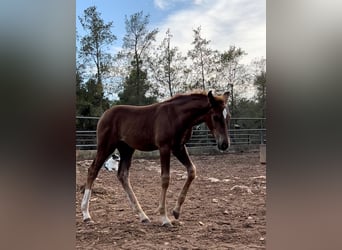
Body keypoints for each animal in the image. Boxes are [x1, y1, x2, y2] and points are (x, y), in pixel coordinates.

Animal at [81, 90, 230, 227]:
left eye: (227, 117)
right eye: (215, 117)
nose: (224, 144)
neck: (177, 116)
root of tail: (105, 114)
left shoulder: (179, 147)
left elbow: (192, 171)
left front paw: (176, 211)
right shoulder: (164, 147)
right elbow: (165, 179)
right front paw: (164, 218)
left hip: (127, 149)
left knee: (122, 175)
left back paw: (143, 216)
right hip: (106, 146)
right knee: (93, 170)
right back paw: (86, 215)